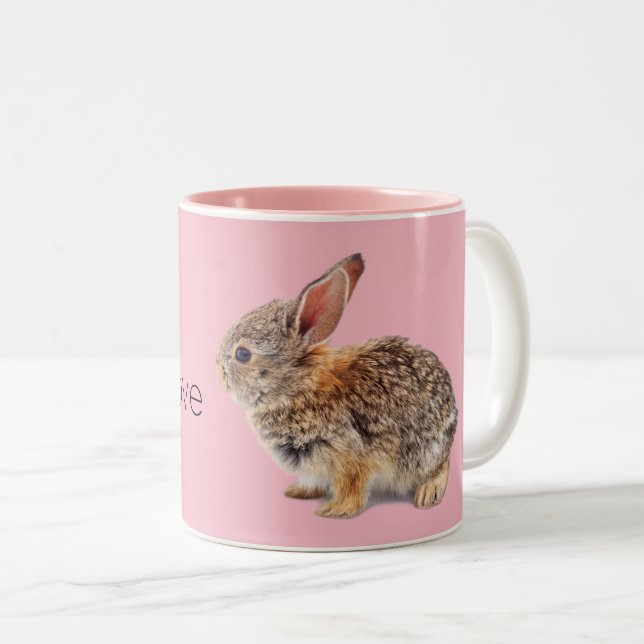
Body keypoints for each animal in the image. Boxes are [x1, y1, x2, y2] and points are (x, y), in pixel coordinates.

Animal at [216, 253, 458, 519]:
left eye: (243, 354)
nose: (217, 366)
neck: (299, 389)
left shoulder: (350, 457)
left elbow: (351, 487)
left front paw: (334, 511)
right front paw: (299, 492)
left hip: (426, 452)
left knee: (441, 466)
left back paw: (428, 493)